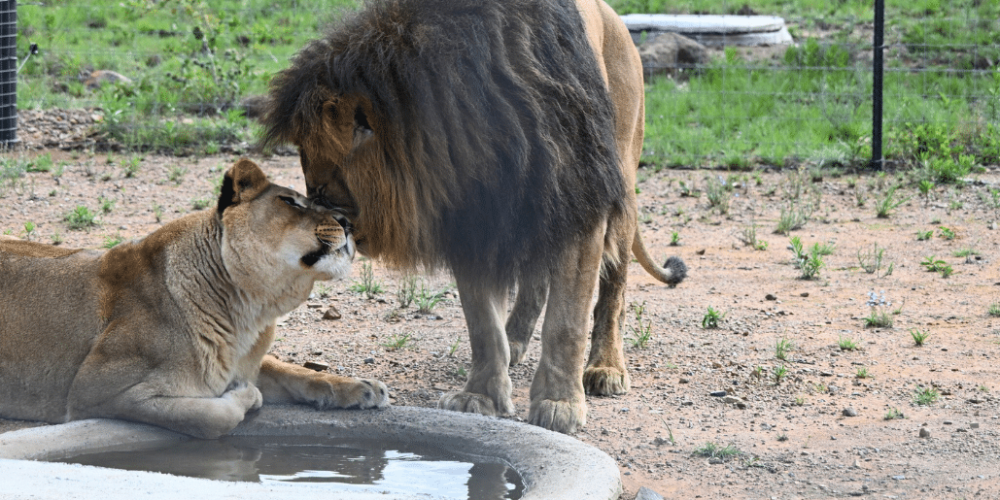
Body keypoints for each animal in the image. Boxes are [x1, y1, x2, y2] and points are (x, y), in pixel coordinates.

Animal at [0, 159, 388, 439]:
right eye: (290, 201)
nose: (348, 222)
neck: (249, 312)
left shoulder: (243, 359)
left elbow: (292, 370)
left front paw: (361, 388)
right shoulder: (94, 391)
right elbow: (213, 417)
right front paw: (246, 396)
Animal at [260, 0, 685, 434]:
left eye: (323, 188)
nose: (339, 227)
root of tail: (616, 18)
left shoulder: (578, 200)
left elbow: (567, 322)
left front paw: (558, 403)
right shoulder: (469, 216)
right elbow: (483, 324)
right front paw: (479, 396)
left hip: (621, 181)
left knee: (614, 287)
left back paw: (606, 368)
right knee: (535, 280)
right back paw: (515, 341)